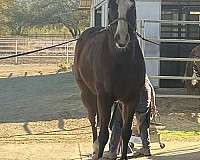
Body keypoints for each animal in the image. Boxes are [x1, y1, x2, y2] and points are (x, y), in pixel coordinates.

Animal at [73, 0, 145, 158]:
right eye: (112, 6)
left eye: (133, 7)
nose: (122, 38)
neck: (121, 61)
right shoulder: (104, 98)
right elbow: (104, 134)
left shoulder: (132, 99)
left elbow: (126, 132)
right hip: (88, 94)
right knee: (93, 120)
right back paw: (95, 148)